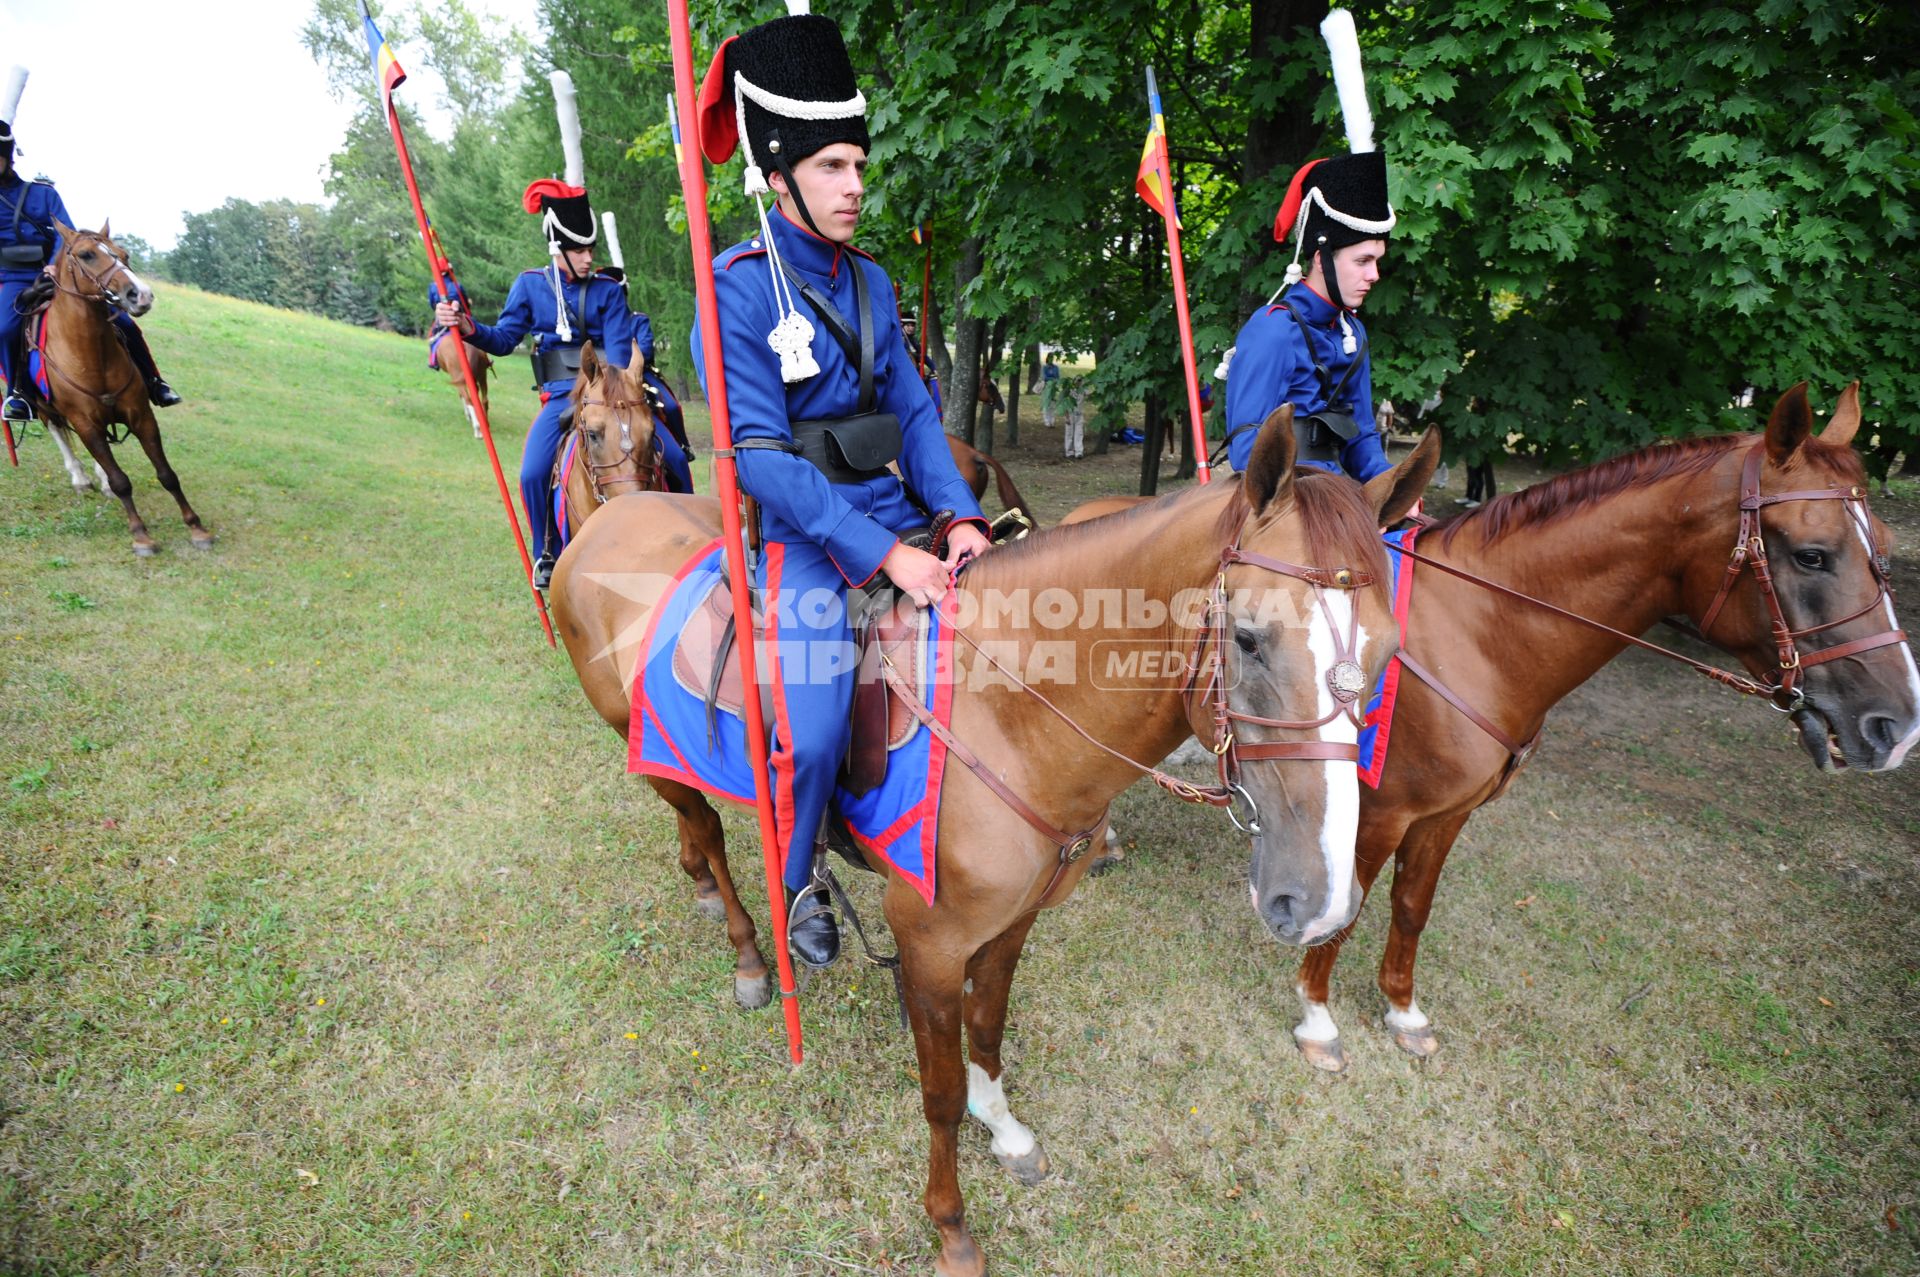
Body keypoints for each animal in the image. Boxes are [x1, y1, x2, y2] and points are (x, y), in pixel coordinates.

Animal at [32, 221, 211, 549]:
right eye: (86, 255)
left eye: (124, 254)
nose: (140, 295)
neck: (91, 353)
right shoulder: (85, 423)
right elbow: (121, 481)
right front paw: (140, 534)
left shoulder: (140, 415)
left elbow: (167, 474)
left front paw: (196, 528)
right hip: (41, 406)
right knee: (55, 429)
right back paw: (80, 478)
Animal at [549, 412, 1436, 1267]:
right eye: (1248, 638)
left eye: (1391, 650)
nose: (1319, 900)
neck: (1010, 714)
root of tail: (606, 524)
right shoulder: (931, 940)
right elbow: (937, 1091)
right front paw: (950, 1225)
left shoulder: (1013, 922)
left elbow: (988, 1027)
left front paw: (1002, 1124)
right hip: (646, 744)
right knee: (702, 824)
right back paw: (749, 950)